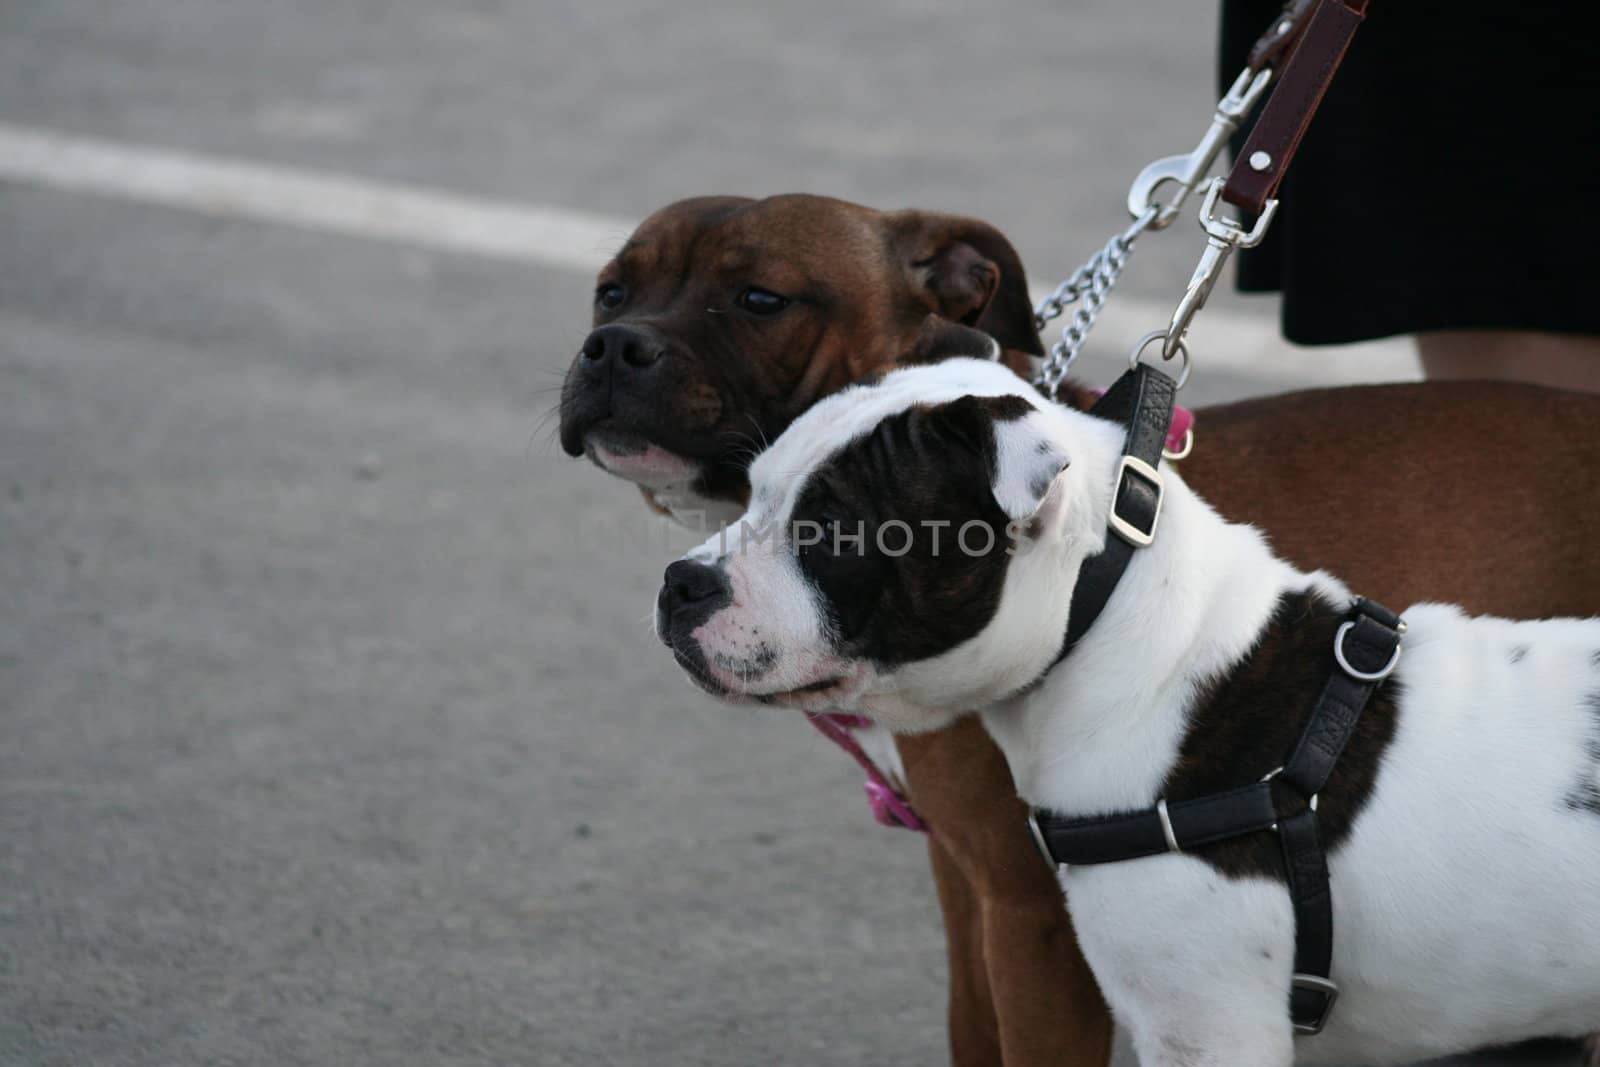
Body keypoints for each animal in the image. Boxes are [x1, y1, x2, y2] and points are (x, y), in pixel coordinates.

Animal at [560, 194, 1600, 1067]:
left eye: (759, 299)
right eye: (611, 288)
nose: (682, 585)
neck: (1145, 642)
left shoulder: (1078, 950)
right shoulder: (969, 884)